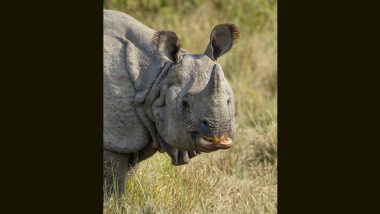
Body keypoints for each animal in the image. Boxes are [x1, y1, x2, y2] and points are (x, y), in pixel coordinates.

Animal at [102, 10, 236, 197]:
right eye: (184, 104)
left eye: (229, 101)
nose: (217, 135)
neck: (159, 77)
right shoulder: (116, 139)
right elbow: (112, 182)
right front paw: (111, 203)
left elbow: (124, 176)